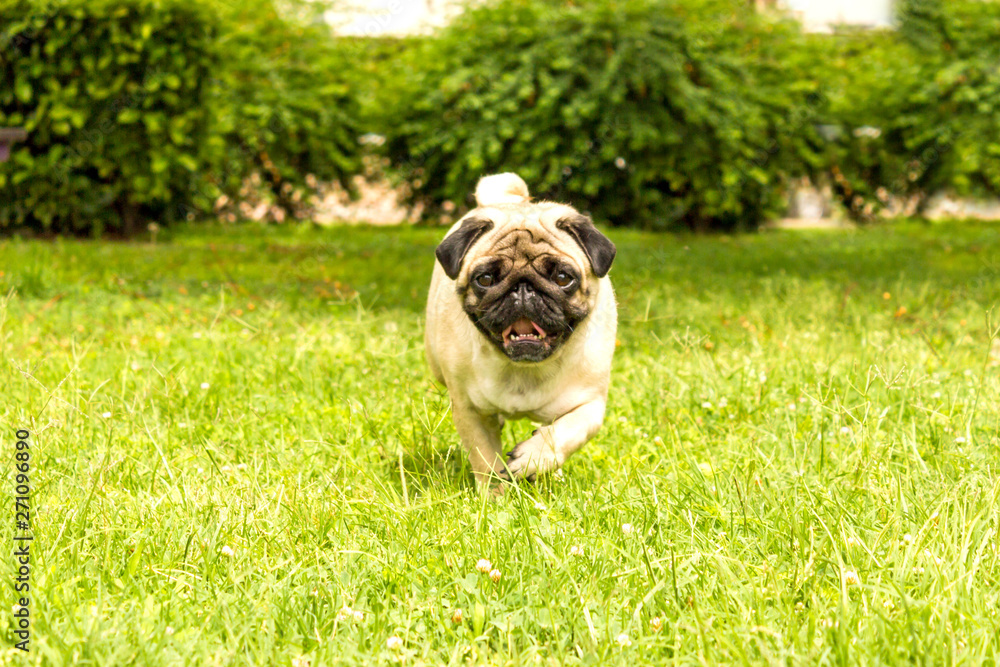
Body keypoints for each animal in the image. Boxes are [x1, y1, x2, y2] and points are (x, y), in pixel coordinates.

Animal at [424, 174, 616, 490]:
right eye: (485, 279)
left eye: (562, 278)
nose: (523, 288)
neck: (523, 371)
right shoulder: (469, 410)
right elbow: (485, 458)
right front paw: (494, 495)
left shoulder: (591, 405)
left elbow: (566, 431)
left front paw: (534, 458)